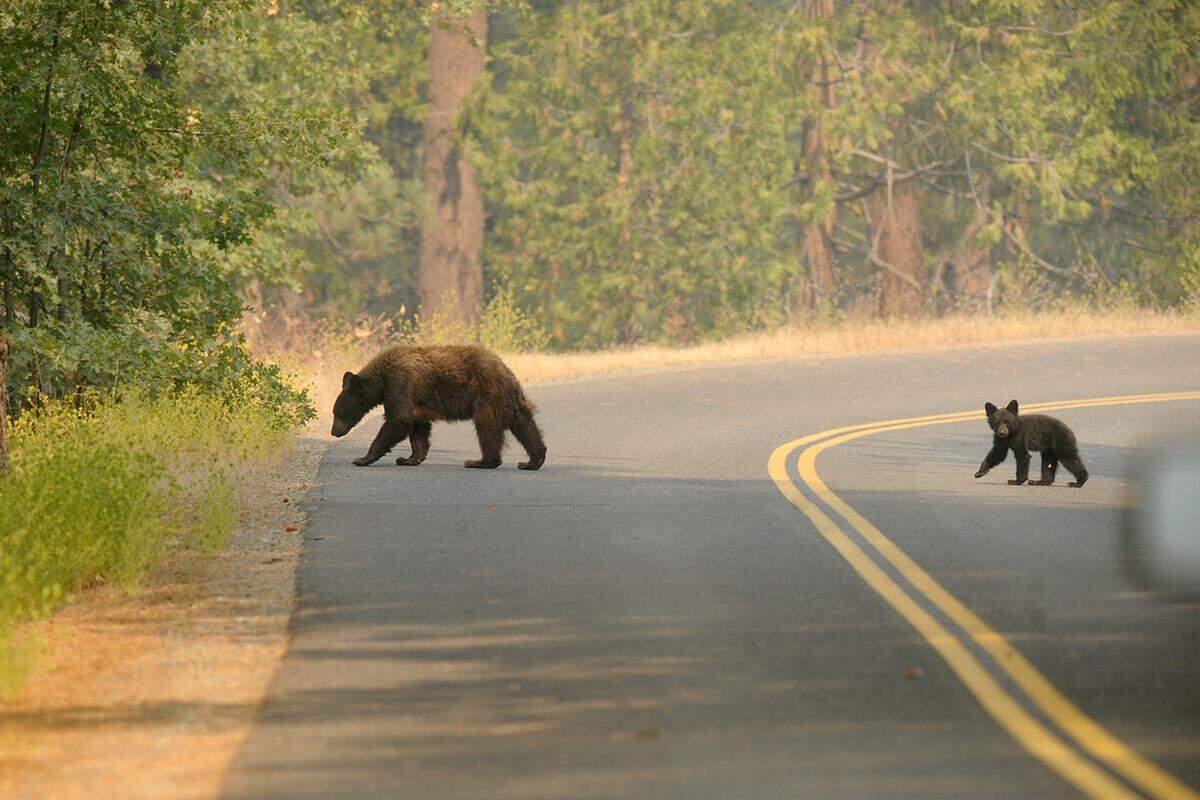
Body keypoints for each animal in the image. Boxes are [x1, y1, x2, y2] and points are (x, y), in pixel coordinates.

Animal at [333, 343, 549, 470]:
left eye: (338, 413)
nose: (334, 431)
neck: (382, 378)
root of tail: (505, 370)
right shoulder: (415, 400)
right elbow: (417, 426)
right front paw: (409, 458)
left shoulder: (400, 383)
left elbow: (399, 419)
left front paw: (362, 458)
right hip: (509, 400)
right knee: (526, 426)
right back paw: (531, 461)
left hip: (487, 396)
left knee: (487, 427)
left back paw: (480, 461)